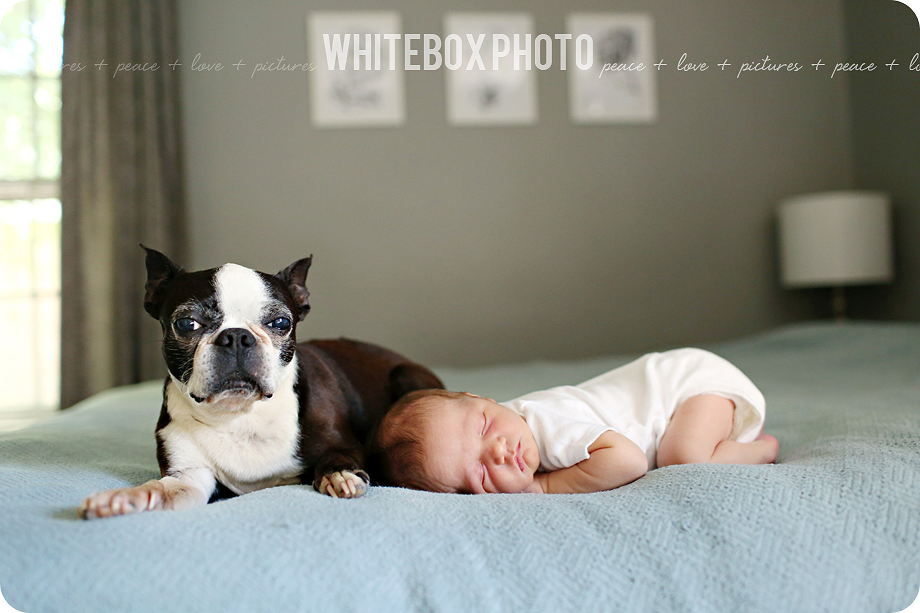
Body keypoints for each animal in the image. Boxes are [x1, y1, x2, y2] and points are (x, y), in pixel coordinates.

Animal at [77, 246, 444, 520]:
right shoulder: (189, 476)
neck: (240, 415)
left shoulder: (346, 445)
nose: (237, 337)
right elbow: (161, 490)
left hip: (405, 376)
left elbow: (337, 459)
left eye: (280, 322)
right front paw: (125, 498)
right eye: (187, 323)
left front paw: (339, 476)